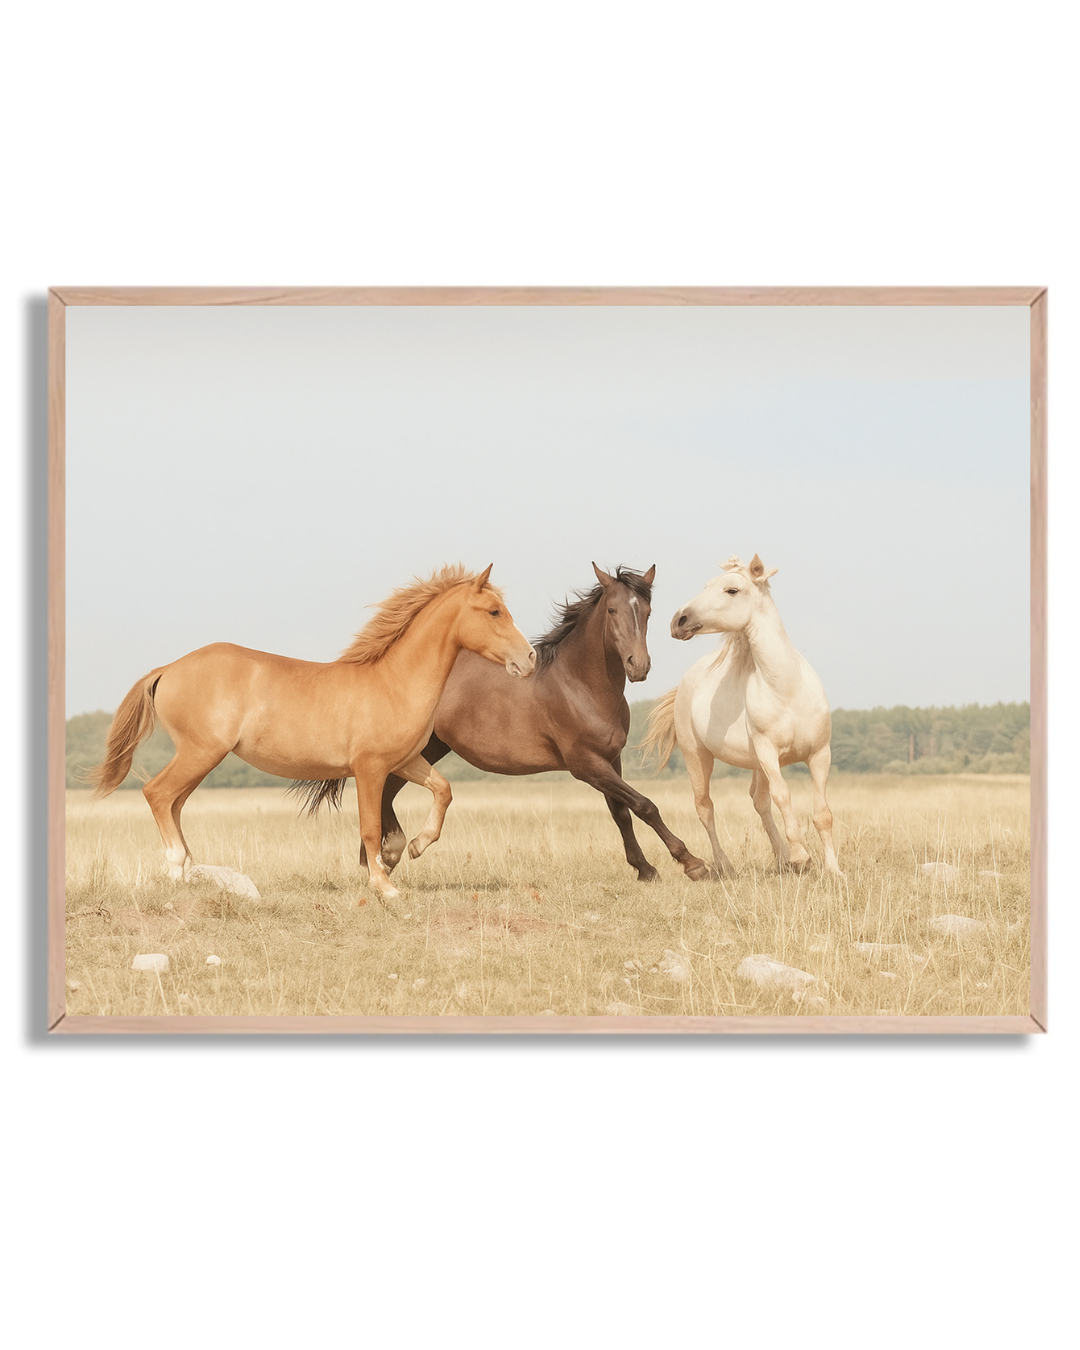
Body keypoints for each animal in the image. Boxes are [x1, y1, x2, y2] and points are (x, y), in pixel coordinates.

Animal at [90, 565, 536, 900]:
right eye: (494, 611)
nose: (529, 659)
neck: (394, 682)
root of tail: (167, 669)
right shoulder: (370, 769)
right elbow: (370, 828)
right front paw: (384, 887)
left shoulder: (406, 761)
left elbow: (443, 791)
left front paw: (416, 847)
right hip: (200, 753)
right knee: (158, 794)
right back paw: (175, 869)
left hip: (199, 758)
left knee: (174, 803)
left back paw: (188, 871)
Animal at [290, 564, 710, 883]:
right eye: (612, 611)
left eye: (648, 612)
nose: (638, 667)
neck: (579, 684)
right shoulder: (585, 765)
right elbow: (645, 805)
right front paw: (691, 863)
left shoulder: (610, 760)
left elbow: (621, 812)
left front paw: (644, 869)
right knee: (381, 791)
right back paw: (387, 856)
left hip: (427, 748)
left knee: (384, 793)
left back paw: (380, 858)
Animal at [642, 554, 843, 878]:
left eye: (732, 590)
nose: (678, 621)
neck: (787, 689)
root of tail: (686, 682)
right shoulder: (768, 753)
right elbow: (783, 796)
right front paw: (802, 857)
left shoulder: (819, 754)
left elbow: (822, 814)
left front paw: (834, 871)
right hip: (698, 757)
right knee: (705, 807)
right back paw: (724, 865)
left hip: (755, 765)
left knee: (759, 802)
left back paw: (781, 859)